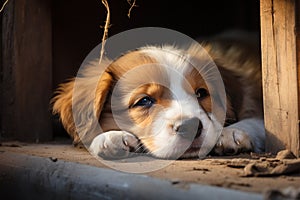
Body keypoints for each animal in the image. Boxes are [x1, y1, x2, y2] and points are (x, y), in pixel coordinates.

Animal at [51, 37, 264, 159]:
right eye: (144, 101)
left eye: (201, 93)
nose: (190, 127)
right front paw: (109, 137)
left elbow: (258, 120)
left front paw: (231, 133)